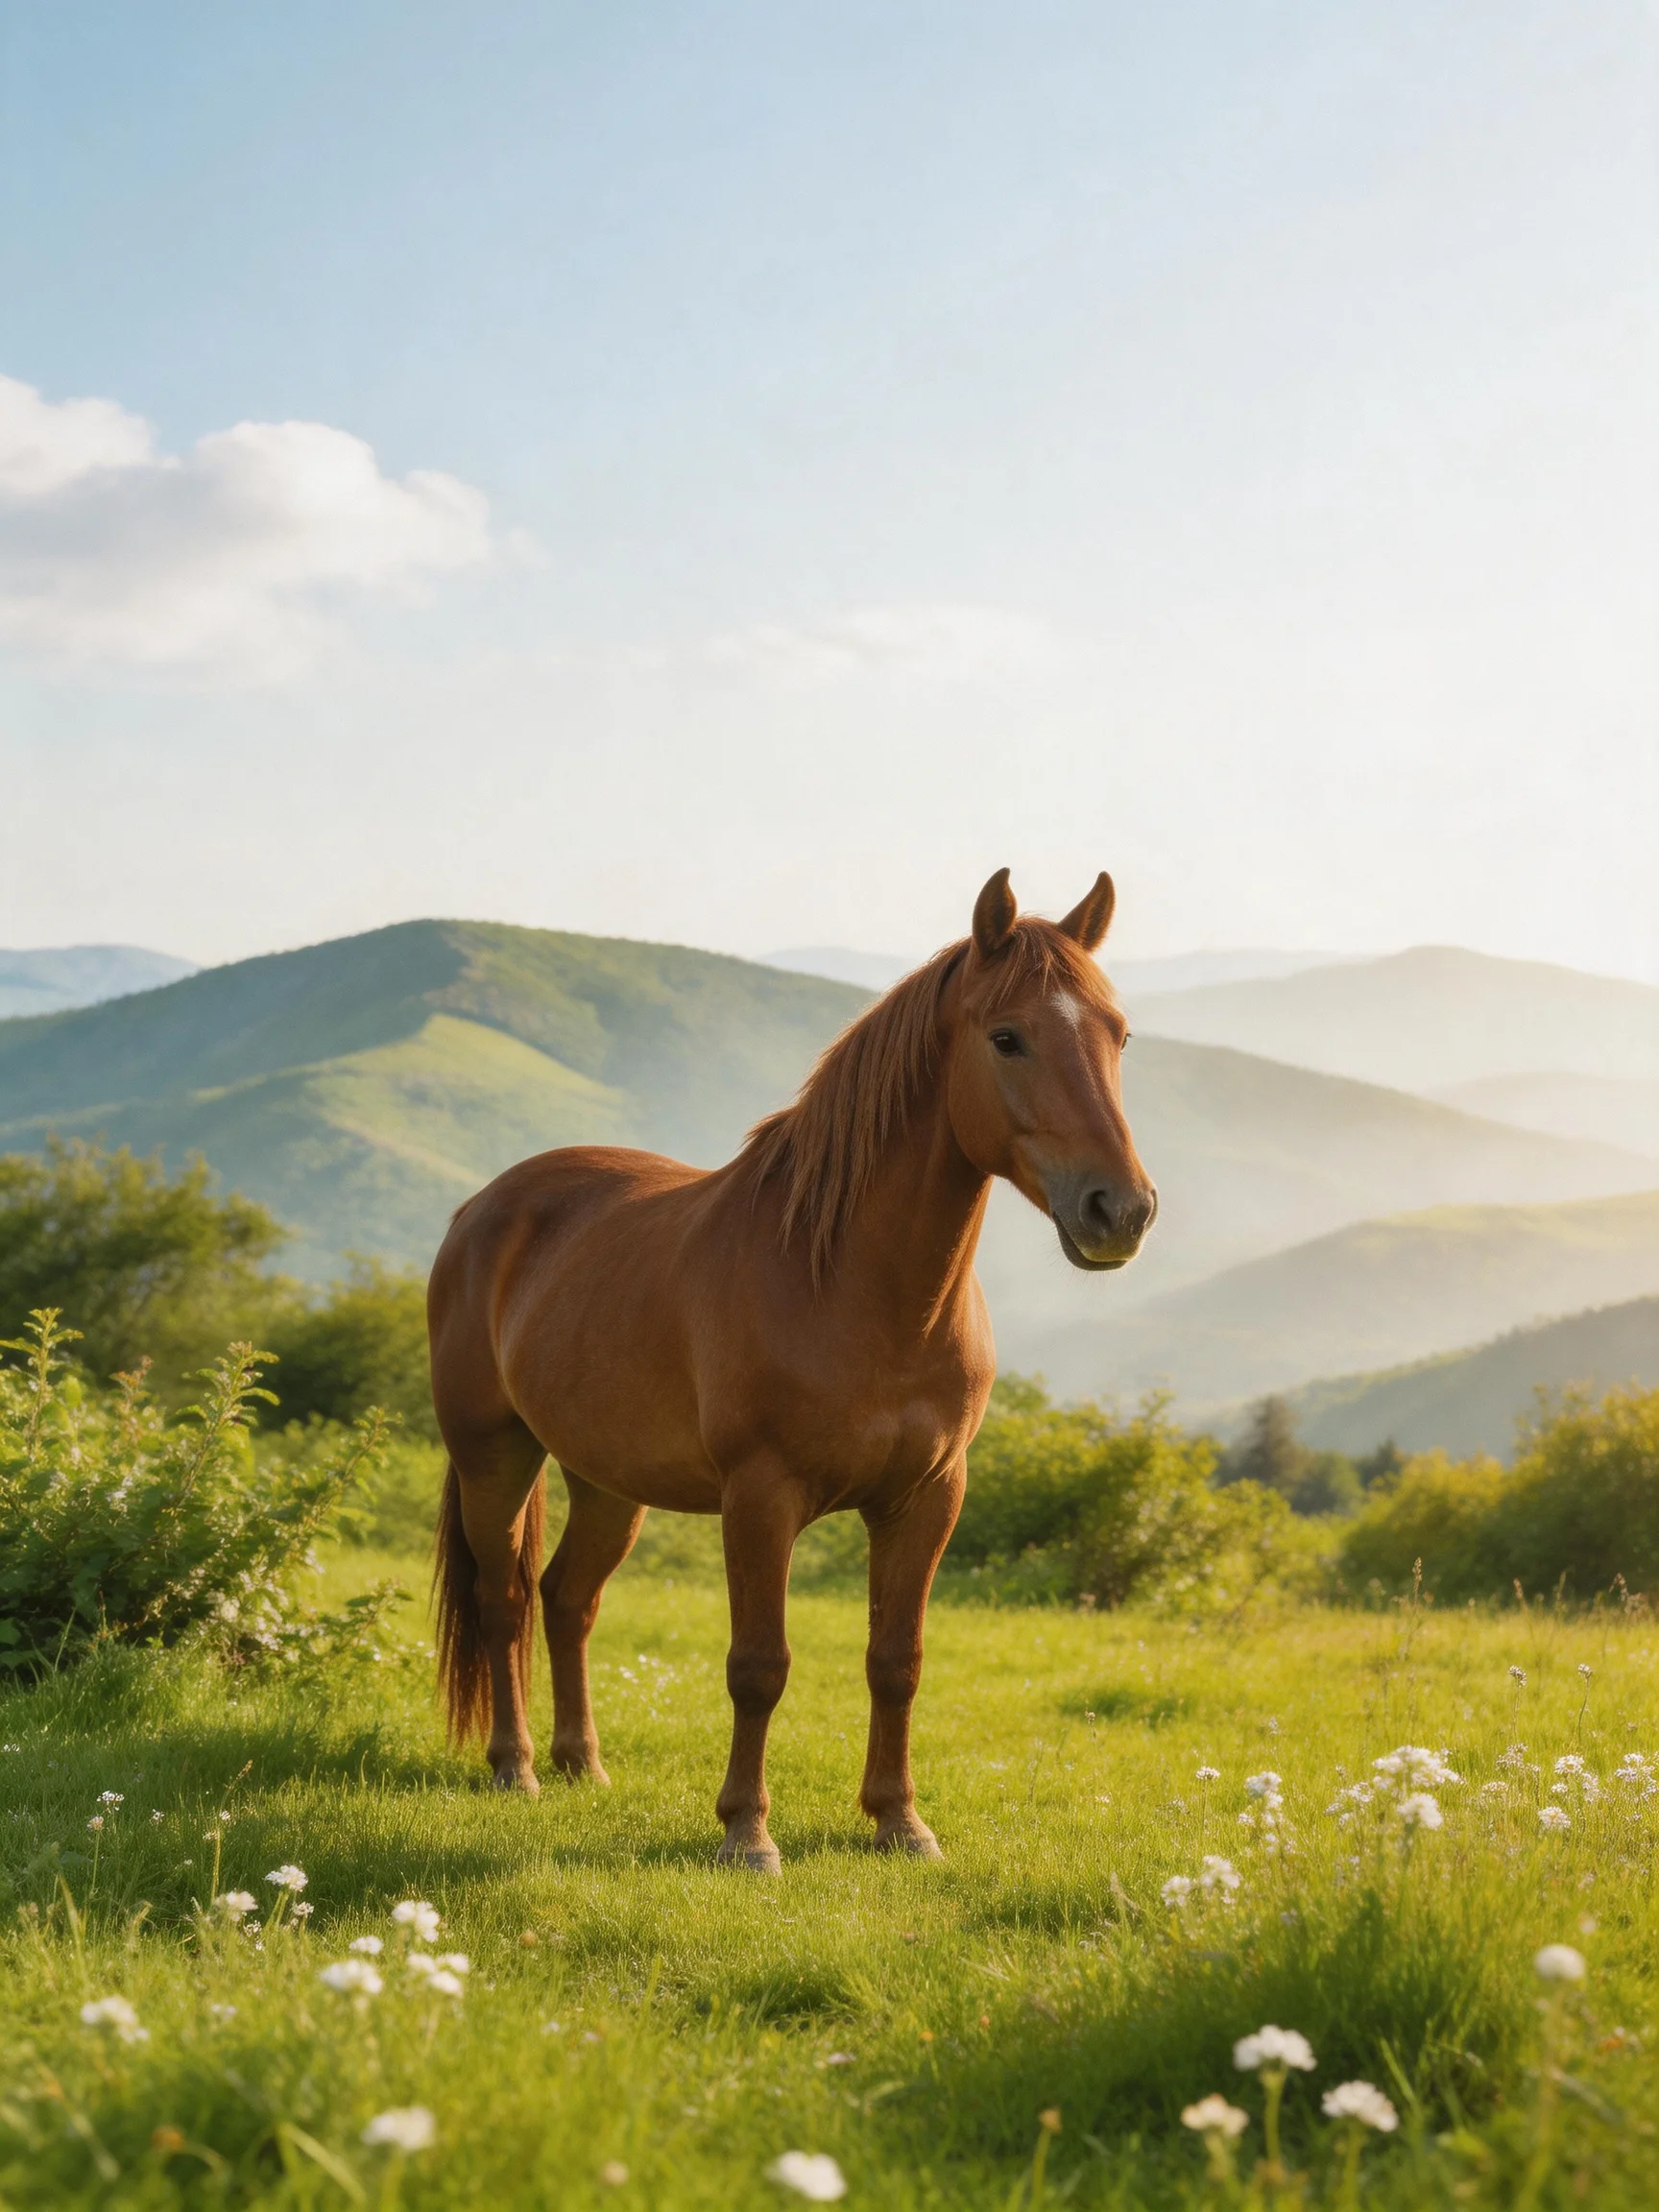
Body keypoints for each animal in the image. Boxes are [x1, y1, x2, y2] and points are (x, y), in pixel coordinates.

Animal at [429, 868, 1156, 1870]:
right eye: (1007, 1037)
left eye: (1118, 1034)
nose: (1119, 1211)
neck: (853, 1286)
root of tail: (479, 1209)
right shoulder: (760, 1498)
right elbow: (758, 1666)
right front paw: (747, 1833)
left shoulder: (929, 1498)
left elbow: (897, 1661)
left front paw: (900, 1821)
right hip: (493, 1456)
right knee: (504, 1603)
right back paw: (518, 1767)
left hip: (608, 1480)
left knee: (568, 1599)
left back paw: (584, 1763)